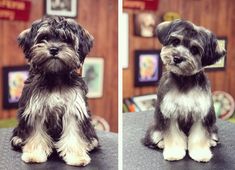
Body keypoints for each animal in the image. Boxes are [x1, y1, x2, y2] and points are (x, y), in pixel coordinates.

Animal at [9, 16, 98, 166]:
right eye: (44, 37)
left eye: (67, 39)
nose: (54, 49)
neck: (55, 76)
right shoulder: (36, 109)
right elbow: (36, 134)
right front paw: (34, 154)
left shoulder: (73, 110)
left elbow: (73, 134)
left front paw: (76, 157)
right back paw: (18, 139)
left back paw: (90, 143)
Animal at [143, 18, 226, 162]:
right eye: (175, 41)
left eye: (194, 49)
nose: (177, 58)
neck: (184, 79)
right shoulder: (169, 112)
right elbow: (173, 135)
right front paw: (174, 153)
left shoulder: (201, 114)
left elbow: (200, 136)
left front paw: (200, 153)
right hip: (155, 128)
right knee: (155, 138)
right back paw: (162, 143)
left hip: (214, 128)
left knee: (212, 135)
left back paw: (211, 142)